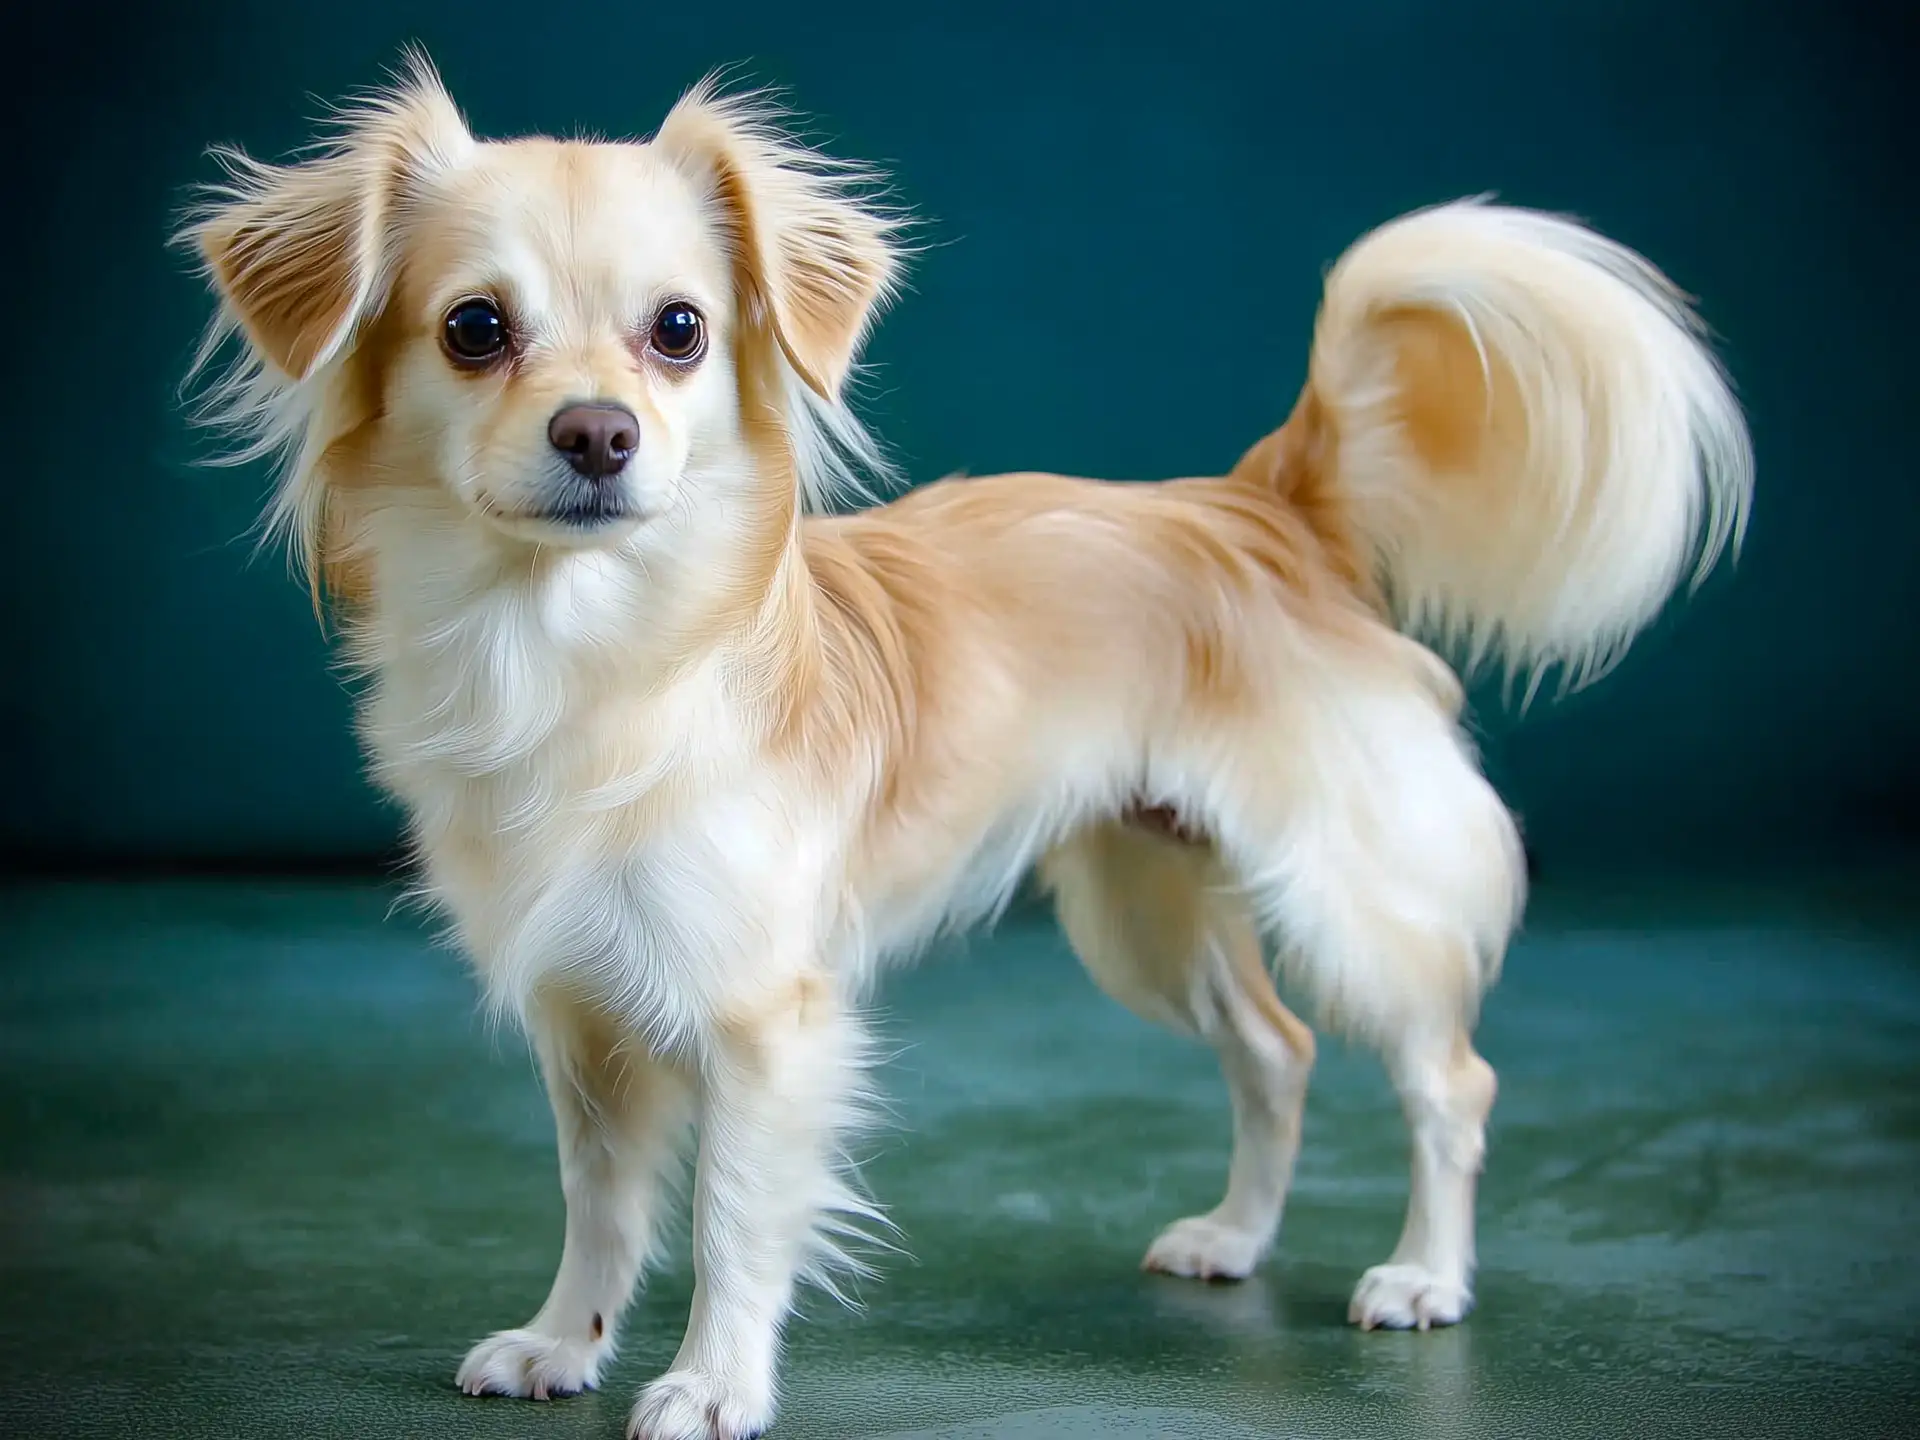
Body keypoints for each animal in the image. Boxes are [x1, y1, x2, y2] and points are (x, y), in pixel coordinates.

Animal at [180, 53, 1758, 1440]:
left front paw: (714, 1385)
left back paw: (1427, 1272)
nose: (598, 434)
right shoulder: (589, 1020)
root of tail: (1261, 505)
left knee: (1447, 1081)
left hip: (1345, 891)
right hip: (1148, 907)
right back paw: (1236, 1237)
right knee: (1278, 1050)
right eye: (474, 330)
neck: (579, 650)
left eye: (679, 331)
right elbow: (603, 1206)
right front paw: (564, 1343)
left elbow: (733, 1217)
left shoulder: (762, 1022)